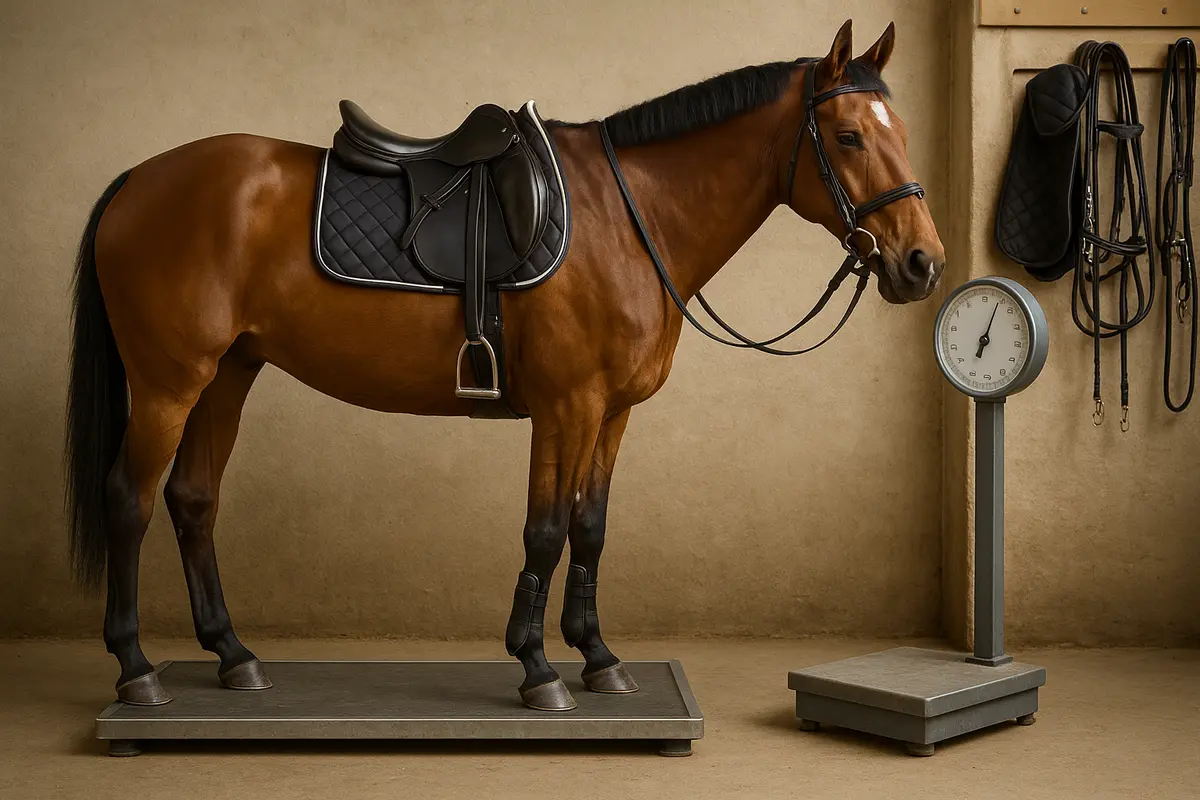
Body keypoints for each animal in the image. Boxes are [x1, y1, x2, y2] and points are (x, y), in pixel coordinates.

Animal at [65, 19, 944, 712]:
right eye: (849, 137)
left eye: (901, 132)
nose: (922, 264)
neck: (627, 218)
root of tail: (138, 179)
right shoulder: (567, 404)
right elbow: (545, 531)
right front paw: (537, 667)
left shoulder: (613, 412)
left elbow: (590, 528)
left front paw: (598, 658)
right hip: (169, 383)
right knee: (129, 501)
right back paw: (138, 670)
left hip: (228, 374)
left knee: (193, 499)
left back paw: (233, 656)